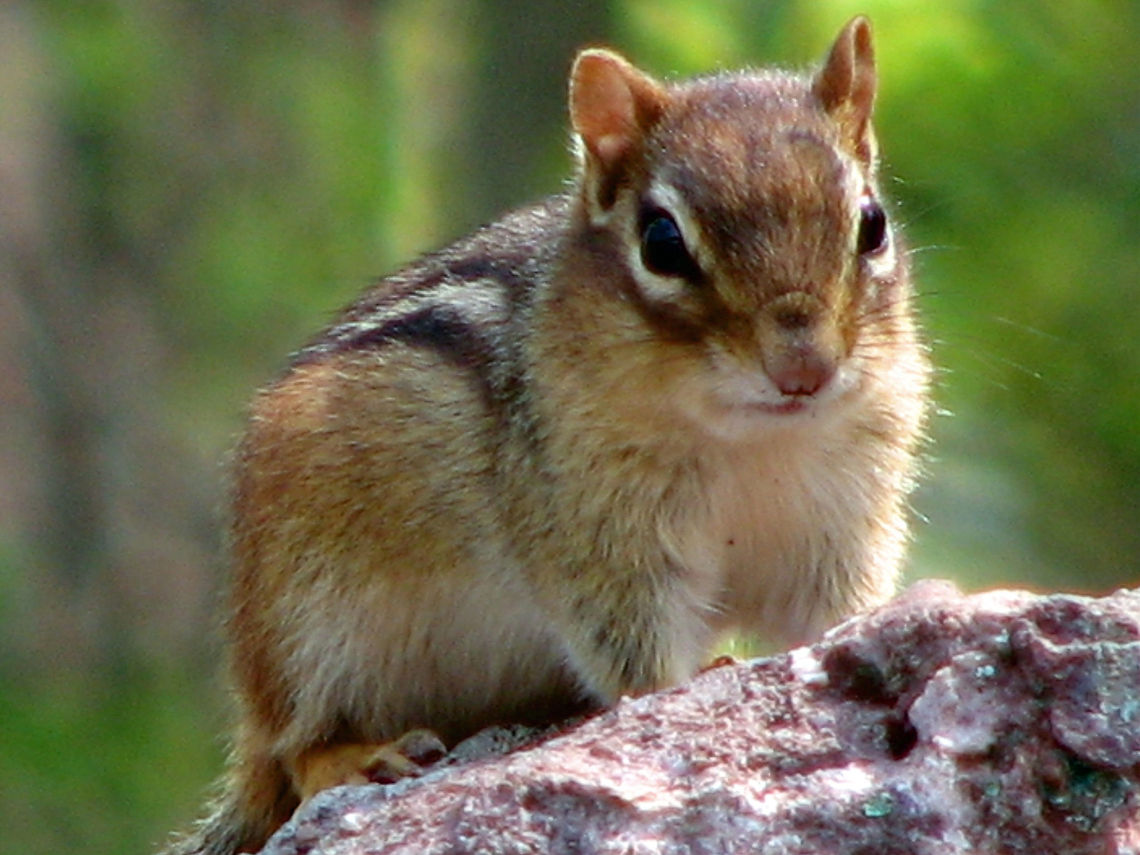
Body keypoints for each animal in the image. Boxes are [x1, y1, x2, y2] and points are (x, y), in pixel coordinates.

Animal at [164, 16, 930, 855]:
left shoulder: (839, 526)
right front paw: (683, 689)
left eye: (872, 225)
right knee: (293, 751)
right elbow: (632, 649)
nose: (805, 368)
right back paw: (358, 757)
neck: (751, 441)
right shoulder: (597, 534)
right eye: (662, 243)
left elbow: (830, 620)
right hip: (310, 618)